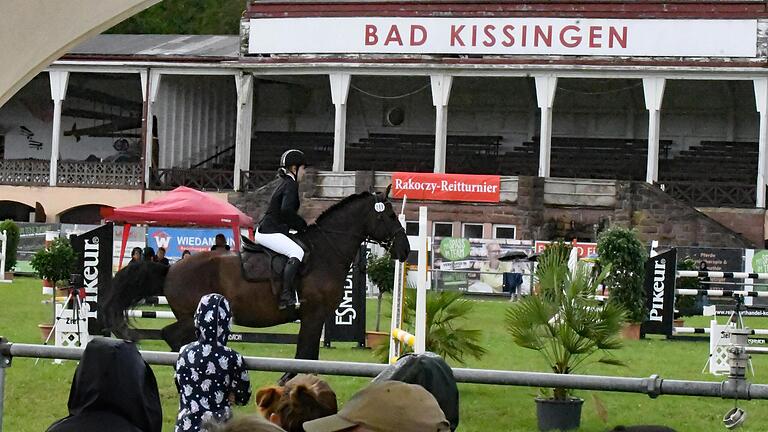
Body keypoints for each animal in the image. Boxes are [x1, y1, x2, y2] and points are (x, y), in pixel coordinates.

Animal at [106, 187, 414, 366]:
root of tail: (171, 268)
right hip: (190, 315)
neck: (327, 250)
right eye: (389, 216)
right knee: (170, 334)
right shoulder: (314, 314)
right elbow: (305, 356)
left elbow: (307, 356)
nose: (405, 249)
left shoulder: (314, 316)